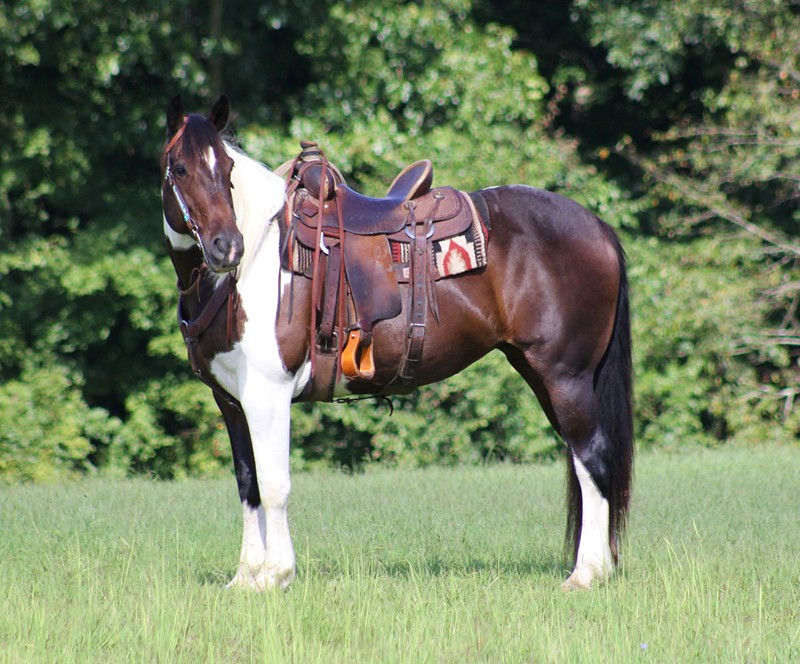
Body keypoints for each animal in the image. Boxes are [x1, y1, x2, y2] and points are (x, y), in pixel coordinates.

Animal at [159, 95, 634, 591]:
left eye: (228, 168)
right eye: (180, 168)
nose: (226, 247)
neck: (254, 264)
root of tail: (597, 226)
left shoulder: (268, 394)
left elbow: (274, 484)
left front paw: (275, 574)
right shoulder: (232, 400)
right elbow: (248, 483)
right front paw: (246, 577)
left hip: (566, 378)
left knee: (593, 459)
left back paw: (587, 573)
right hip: (544, 375)